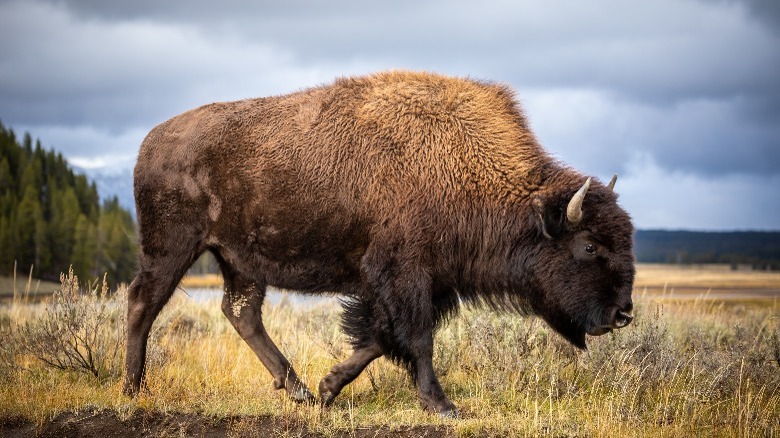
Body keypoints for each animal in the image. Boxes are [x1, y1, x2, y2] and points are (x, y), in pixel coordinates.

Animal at [122, 70, 632, 416]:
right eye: (589, 246)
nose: (623, 313)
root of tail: (151, 142)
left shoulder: (424, 282)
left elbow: (381, 338)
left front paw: (329, 387)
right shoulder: (404, 274)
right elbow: (415, 338)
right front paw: (442, 405)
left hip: (239, 261)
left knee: (241, 313)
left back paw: (299, 391)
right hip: (171, 247)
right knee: (143, 304)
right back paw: (133, 388)